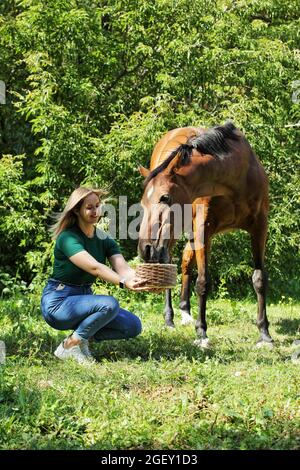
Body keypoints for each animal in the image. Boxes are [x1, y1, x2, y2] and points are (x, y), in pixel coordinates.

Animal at [137, 122, 274, 346]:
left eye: (165, 197)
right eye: (143, 202)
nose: (145, 249)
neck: (235, 176)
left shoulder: (260, 227)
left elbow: (259, 279)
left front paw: (264, 333)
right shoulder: (203, 230)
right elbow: (203, 282)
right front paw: (201, 332)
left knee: (185, 260)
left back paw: (185, 311)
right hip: (173, 235)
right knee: (168, 262)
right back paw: (170, 318)